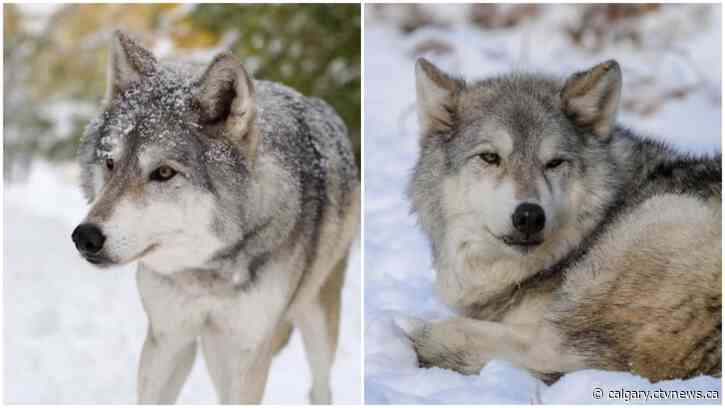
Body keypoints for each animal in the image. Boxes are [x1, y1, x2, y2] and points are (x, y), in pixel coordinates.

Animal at [70, 30, 360, 404]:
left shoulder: (250, 352)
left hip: (317, 319)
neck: (205, 274)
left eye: (164, 172)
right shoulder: (168, 338)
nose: (85, 236)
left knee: (320, 386)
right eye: (110, 163)